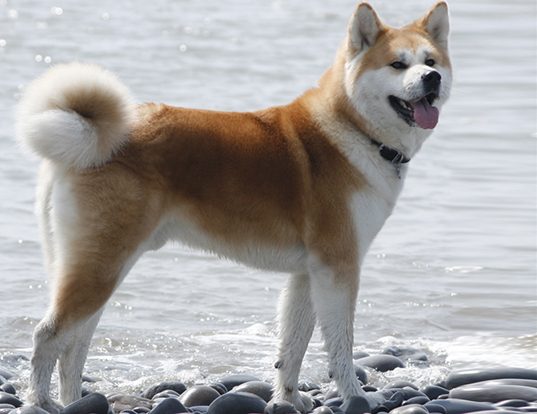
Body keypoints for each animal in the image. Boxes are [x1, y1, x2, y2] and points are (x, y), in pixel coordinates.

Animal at [16, 1, 450, 412]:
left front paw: (287, 399)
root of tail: (89, 139)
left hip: (97, 270)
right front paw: (357, 396)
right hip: (100, 269)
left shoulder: (307, 275)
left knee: (74, 347)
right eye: (398, 64)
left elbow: (292, 348)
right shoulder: (338, 269)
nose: (432, 79)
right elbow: (341, 348)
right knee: (47, 337)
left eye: (430, 62)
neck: (353, 131)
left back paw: (75, 401)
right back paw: (41, 402)